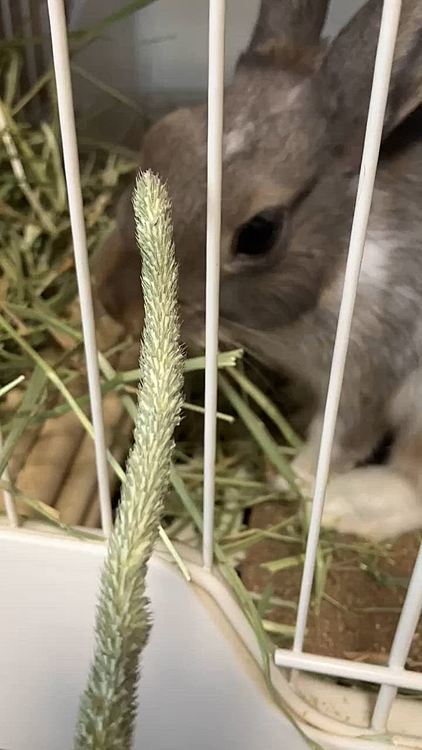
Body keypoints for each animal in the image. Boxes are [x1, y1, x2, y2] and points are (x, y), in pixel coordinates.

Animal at [107, 0, 422, 540]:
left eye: (258, 232)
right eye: (160, 136)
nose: (119, 307)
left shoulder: (370, 370)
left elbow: (337, 441)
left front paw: (291, 478)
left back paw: (346, 506)